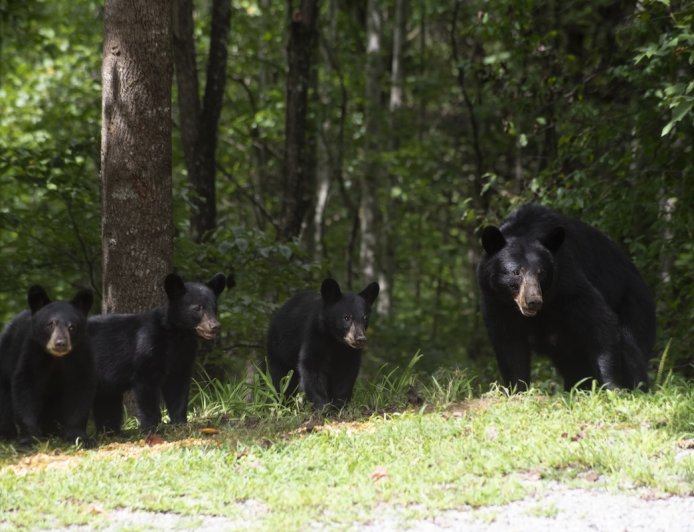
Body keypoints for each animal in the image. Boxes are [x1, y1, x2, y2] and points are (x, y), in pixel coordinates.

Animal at [0, 285, 94, 446]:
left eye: (72, 327)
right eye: (50, 324)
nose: (60, 343)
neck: (56, 359)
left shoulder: (80, 355)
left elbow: (79, 389)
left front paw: (78, 437)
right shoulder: (33, 352)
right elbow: (26, 387)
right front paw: (29, 438)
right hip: (5, 359)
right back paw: (8, 434)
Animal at [88, 272, 232, 434]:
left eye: (215, 308)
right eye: (198, 308)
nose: (215, 326)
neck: (178, 336)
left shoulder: (184, 355)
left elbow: (178, 388)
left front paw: (180, 423)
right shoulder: (148, 348)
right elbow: (147, 388)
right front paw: (151, 427)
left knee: (107, 401)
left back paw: (111, 432)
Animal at [266, 278, 380, 410]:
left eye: (365, 318)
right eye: (346, 317)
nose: (360, 339)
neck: (335, 340)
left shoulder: (349, 352)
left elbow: (347, 373)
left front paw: (339, 405)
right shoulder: (314, 336)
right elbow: (312, 366)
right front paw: (322, 406)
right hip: (279, 350)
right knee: (282, 379)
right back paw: (285, 403)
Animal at [477, 203, 655, 392]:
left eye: (541, 273)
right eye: (516, 272)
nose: (533, 301)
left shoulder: (567, 281)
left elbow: (600, 321)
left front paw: (612, 387)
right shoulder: (495, 301)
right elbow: (509, 345)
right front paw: (518, 389)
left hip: (635, 303)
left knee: (630, 346)